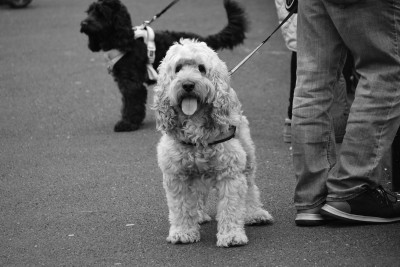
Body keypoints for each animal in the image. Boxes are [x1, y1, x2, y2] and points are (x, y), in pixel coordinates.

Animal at [80, 0, 248, 133]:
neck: (124, 41)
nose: (84, 23)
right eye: (89, 12)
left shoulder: (131, 83)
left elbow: (132, 103)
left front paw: (127, 123)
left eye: (101, 14)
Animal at [152, 38, 272, 248]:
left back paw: (254, 213)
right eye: (178, 68)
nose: (188, 84)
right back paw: (199, 215)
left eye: (201, 68)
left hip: (247, 157)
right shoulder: (177, 173)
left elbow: (231, 206)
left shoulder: (230, 172)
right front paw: (183, 232)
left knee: (250, 187)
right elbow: (181, 206)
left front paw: (231, 235)